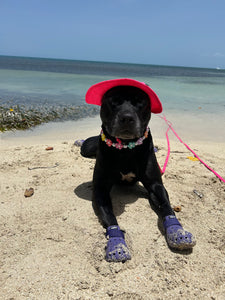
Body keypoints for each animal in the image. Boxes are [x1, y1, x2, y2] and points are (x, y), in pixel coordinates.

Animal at [81, 81, 195, 262]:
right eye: (114, 101)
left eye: (140, 102)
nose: (127, 118)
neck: (126, 149)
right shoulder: (100, 189)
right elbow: (110, 216)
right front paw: (116, 243)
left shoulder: (156, 185)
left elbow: (166, 206)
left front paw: (177, 231)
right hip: (87, 147)